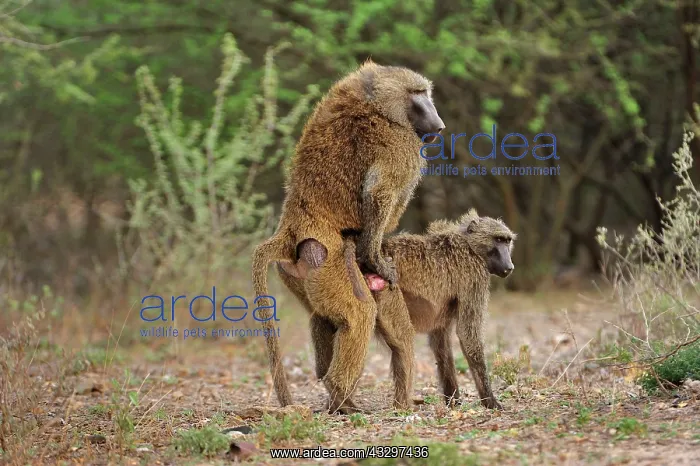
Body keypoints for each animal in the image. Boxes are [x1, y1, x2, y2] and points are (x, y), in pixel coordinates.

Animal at [252, 60, 445, 414]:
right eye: (418, 94)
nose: (438, 125)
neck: (377, 103)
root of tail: (289, 227)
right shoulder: (401, 145)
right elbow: (379, 193)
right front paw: (377, 260)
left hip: (299, 271)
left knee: (324, 318)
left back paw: (338, 395)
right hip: (327, 257)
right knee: (358, 314)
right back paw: (341, 395)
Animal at [281, 208, 516, 410]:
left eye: (507, 241)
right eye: (498, 240)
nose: (509, 267)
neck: (469, 245)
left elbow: (441, 345)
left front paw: (454, 401)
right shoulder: (476, 277)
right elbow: (468, 336)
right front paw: (491, 402)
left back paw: (336, 405)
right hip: (381, 292)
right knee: (402, 342)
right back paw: (398, 407)